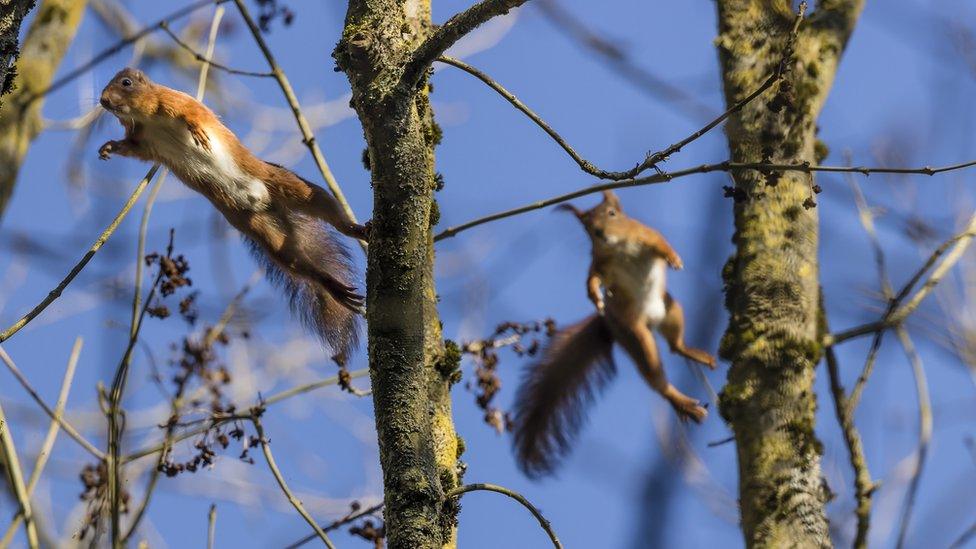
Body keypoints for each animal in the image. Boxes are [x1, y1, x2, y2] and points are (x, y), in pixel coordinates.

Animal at [98, 67, 370, 360]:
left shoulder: (176, 101)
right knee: (296, 262)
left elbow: (192, 113)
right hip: (263, 232)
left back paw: (353, 229)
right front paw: (109, 147)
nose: (103, 101)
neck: (145, 117)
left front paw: (196, 130)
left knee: (321, 203)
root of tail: (266, 204)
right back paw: (332, 286)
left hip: (285, 184)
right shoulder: (142, 140)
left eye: (126, 83)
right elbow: (132, 149)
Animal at [510, 191, 716, 478]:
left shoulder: (645, 234)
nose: (600, 232)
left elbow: (661, 243)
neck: (621, 248)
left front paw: (673, 259)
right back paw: (685, 404)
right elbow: (591, 278)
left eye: (612, 214)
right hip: (635, 336)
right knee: (657, 376)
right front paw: (594, 295)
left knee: (675, 345)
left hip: (672, 309)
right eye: (586, 226)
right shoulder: (599, 263)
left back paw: (695, 354)